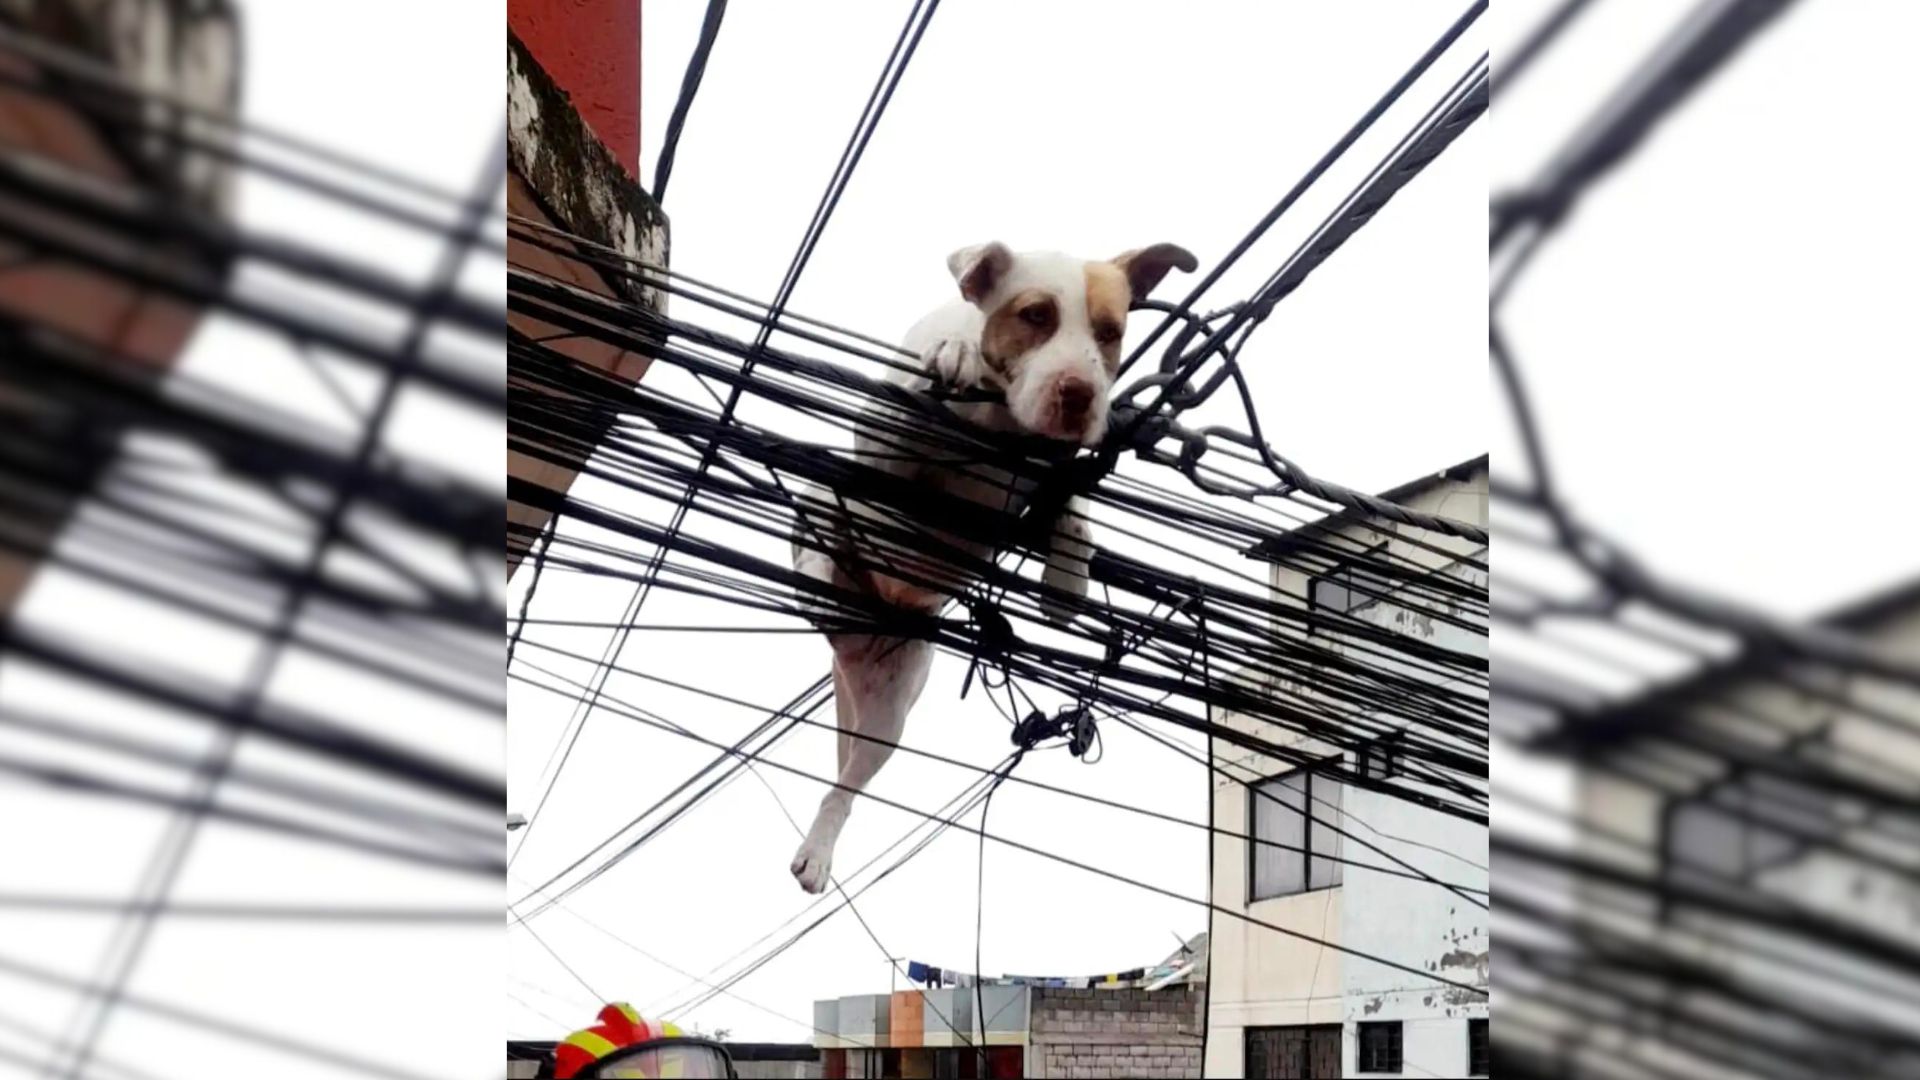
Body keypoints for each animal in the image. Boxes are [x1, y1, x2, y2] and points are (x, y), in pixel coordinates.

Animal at [787, 239, 1190, 887]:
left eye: (1110, 332)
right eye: (1036, 315)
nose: (1079, 393)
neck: (999, 417)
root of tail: (852, 638)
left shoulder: (1057, 468)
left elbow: (1074, 510)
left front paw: (1067, 581)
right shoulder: (881, 450)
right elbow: (906, 418)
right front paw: (951, 354)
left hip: (890, 706)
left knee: (844, 788)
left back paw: (820, 848)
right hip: (827, 494)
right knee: (820, 520)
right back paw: (820, 572)